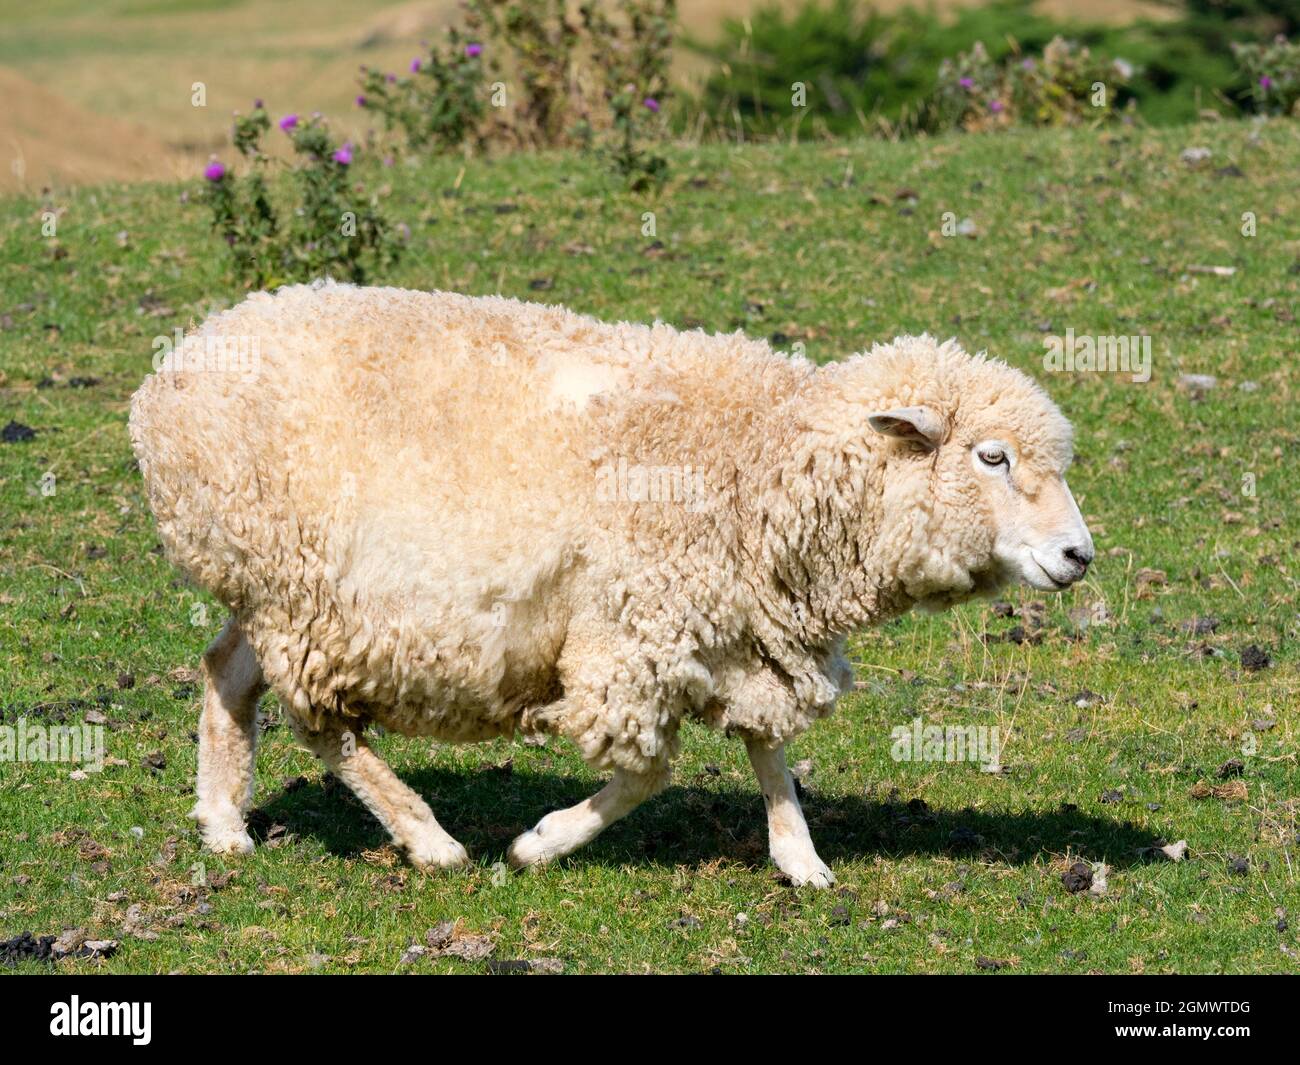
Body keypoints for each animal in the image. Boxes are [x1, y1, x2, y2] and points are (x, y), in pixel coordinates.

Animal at [129, 279, 1097, 889]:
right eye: (993, 457)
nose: (1079, 555)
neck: (756, 456)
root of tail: (169, 373)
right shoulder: (630, 634)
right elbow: (647, 771)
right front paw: (540, 843)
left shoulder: (742, 624)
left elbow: (766, 746)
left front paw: (800, 857)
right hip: (301, 591)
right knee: (322, 725)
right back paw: (431, 839)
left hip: (278, 588)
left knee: (227, 673)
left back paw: (225, 824)